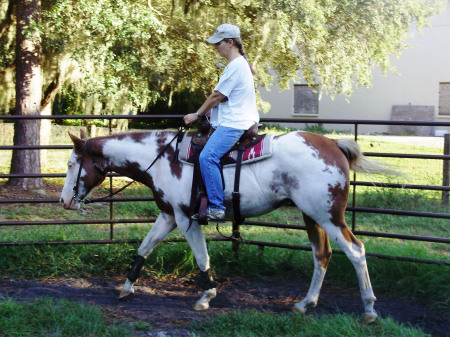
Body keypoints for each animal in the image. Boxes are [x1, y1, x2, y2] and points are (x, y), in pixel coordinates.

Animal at [59, 128, 394, 320]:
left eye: (72, 164)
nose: (64, 201)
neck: (163, 157)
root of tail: (334, 146)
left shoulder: (186, 218)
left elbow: (201, 257)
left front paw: (206, 296)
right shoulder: (168, 215)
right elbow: (144, 248)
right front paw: (126, 288)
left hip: (328, 216)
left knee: (355, 251)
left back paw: (369, 309)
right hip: (312, 215)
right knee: (322, 255)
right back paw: (304, 303)